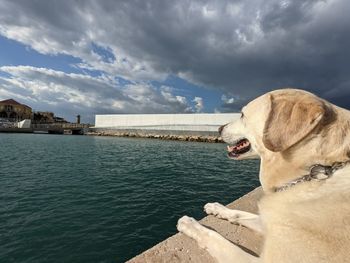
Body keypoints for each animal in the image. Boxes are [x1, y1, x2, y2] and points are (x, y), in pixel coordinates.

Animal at [178, 89, 350, 262]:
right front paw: (217, 208)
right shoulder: (269, 221)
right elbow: (240, 214)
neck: (309, 172)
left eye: (242, 114)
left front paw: (191, 225)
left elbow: (216, 238)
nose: (219, 128)